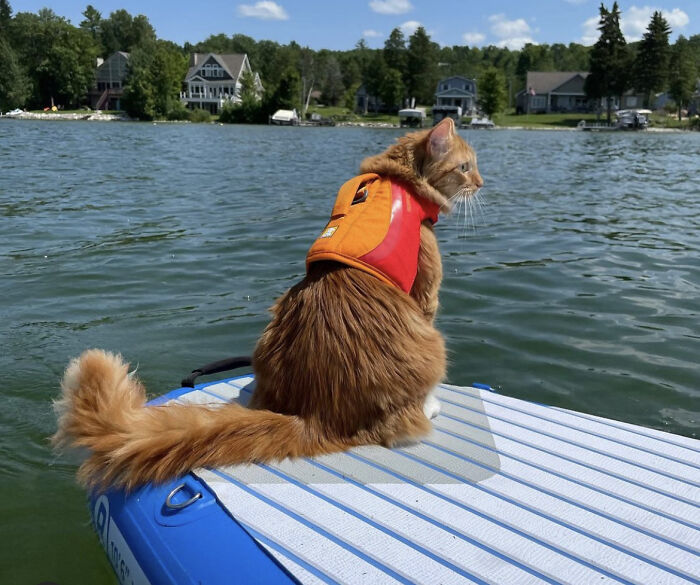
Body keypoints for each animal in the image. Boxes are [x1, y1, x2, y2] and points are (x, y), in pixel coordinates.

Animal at [53, 115, 482, 488]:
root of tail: (314, 415)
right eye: (465, 167)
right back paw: (428, 410)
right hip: (433, 346)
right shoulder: (425, 293)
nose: (481, 183)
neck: (398, 178)